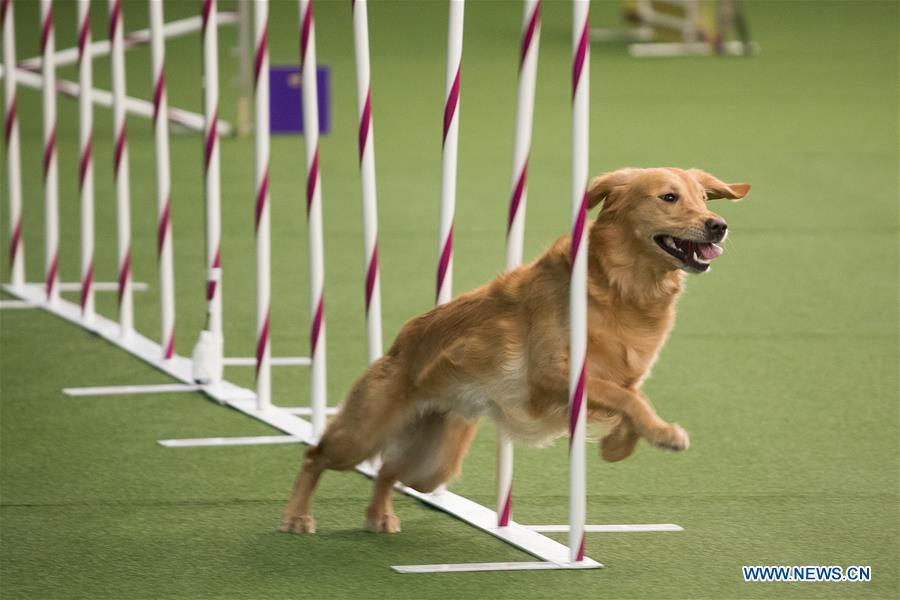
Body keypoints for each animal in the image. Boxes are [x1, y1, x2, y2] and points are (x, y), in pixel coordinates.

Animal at [280, 166, 744, 532]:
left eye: (704, 198)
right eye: (669, 197)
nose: (718, 224)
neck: (619, 287)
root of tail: (399, 343)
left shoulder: (616, 376)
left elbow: (631, 400)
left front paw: (620, 446)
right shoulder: (552, 375)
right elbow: (628, 398)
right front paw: (663, 434)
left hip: (433, 463)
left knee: (389, 472)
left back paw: (379, 516)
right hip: (362, 434)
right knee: (315, 456)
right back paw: (297, 516)